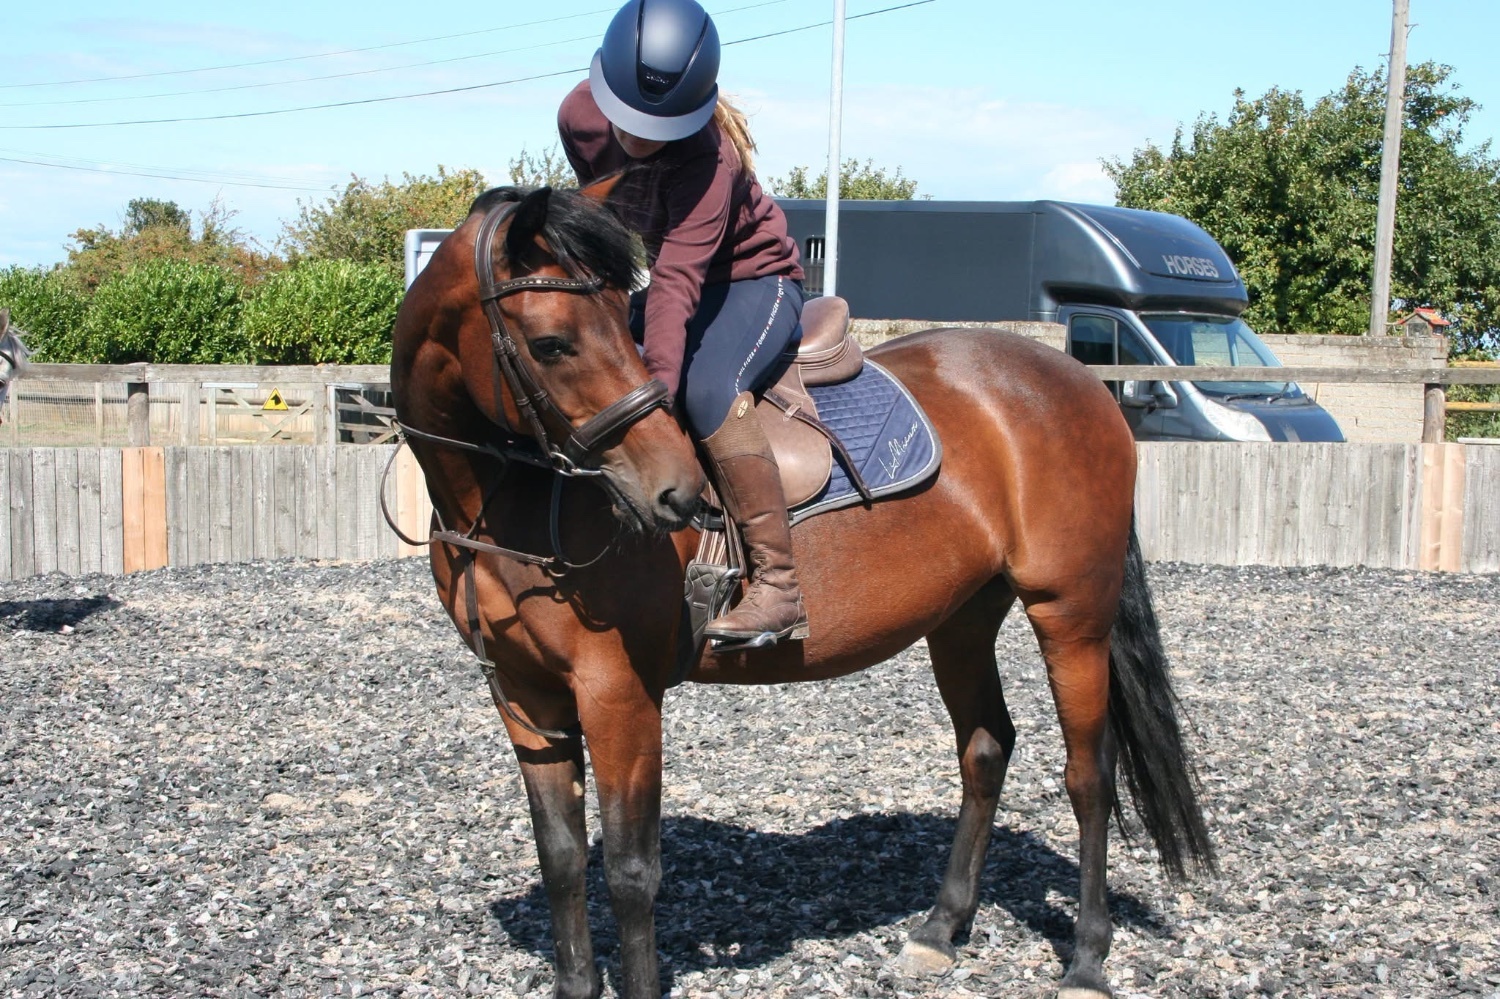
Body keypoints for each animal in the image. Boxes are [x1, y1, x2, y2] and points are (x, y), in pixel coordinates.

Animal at [390, 183, 1215, 999]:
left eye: (616, 329)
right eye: (553, 343)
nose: (675, 491)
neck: (512, 498)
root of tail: (1084, 386)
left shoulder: (618, 694)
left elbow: (629, 870)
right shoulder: (523, 694)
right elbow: (562, 856)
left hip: (1071, 613)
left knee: (1089, 775)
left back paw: (1087, 959)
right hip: (962, 618)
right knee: (986, 747)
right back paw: (940, 928)